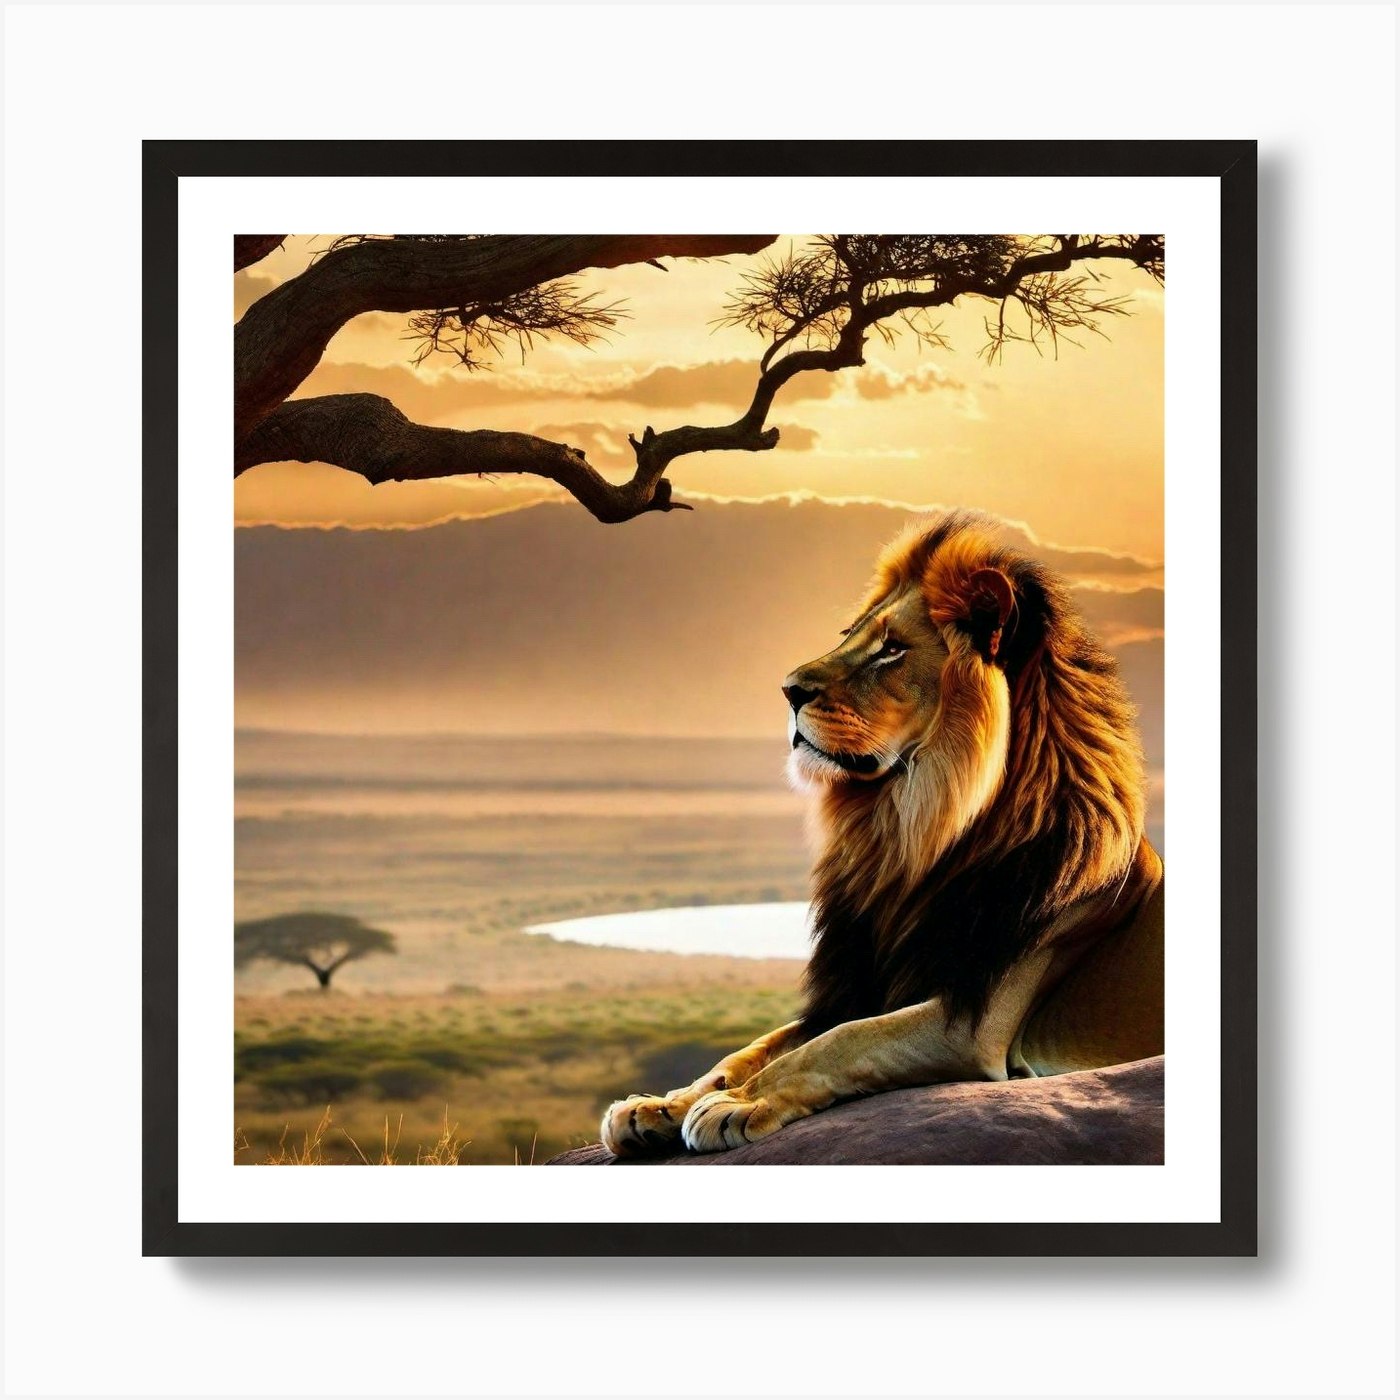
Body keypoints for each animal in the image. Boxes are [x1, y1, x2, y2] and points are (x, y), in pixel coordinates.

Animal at [600, 510, 1163, 1157]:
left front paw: (736, 1106)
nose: (787, 689)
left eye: (891, 650)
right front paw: (661, 1105)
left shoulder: (973, 1022)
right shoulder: (862, 986)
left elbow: (840, 1040)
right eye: (851, 635)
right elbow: (757, 1047)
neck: (907, 837)